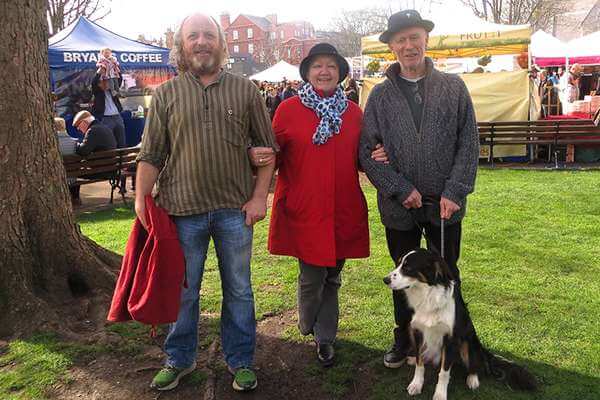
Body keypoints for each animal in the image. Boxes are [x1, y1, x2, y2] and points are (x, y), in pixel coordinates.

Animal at [384, 248, 540, 398]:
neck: (428, 295)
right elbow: (419, 363)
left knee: (475, 365)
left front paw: (440, 394)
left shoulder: (450, 339)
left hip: (467, 342)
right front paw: (416, 384)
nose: (385, 279)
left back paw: (472, 379)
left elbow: (444, 372)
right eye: (398, 264)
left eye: (408, 267)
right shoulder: (417, 331)